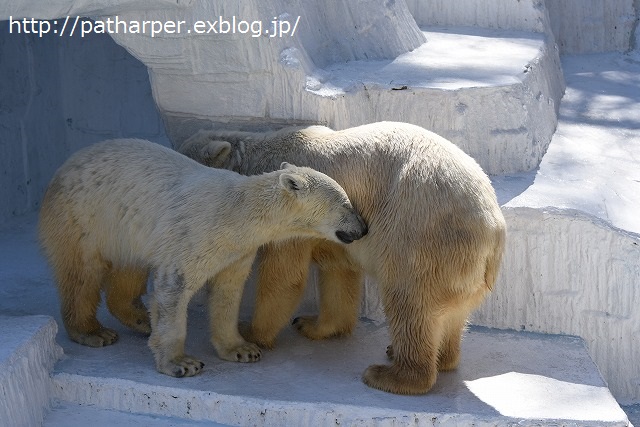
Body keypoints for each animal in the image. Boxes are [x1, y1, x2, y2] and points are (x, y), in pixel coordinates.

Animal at [40, 139, 368, 380]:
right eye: (346, 204)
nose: (364, 228)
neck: (237, 213)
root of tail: (64, 166)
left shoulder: (236, 249)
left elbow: (228, 291)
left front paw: (241, 349)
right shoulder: (193, 236)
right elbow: (174, 287)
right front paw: (181, 363)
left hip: (126, 229)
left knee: (128, 269)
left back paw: (140, 319)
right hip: (85, 218)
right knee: (81, 274)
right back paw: (92, 332)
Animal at [178, 121, 508, 394]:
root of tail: (494, 228)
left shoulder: (296, 208)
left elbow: (284, 274)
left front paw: (250, 331)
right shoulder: (336, 225)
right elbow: (337, 267)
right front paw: (310, 324)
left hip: (423, 238)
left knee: (410, 301)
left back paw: (390, 374)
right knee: (451, 313)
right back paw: (437, 356)